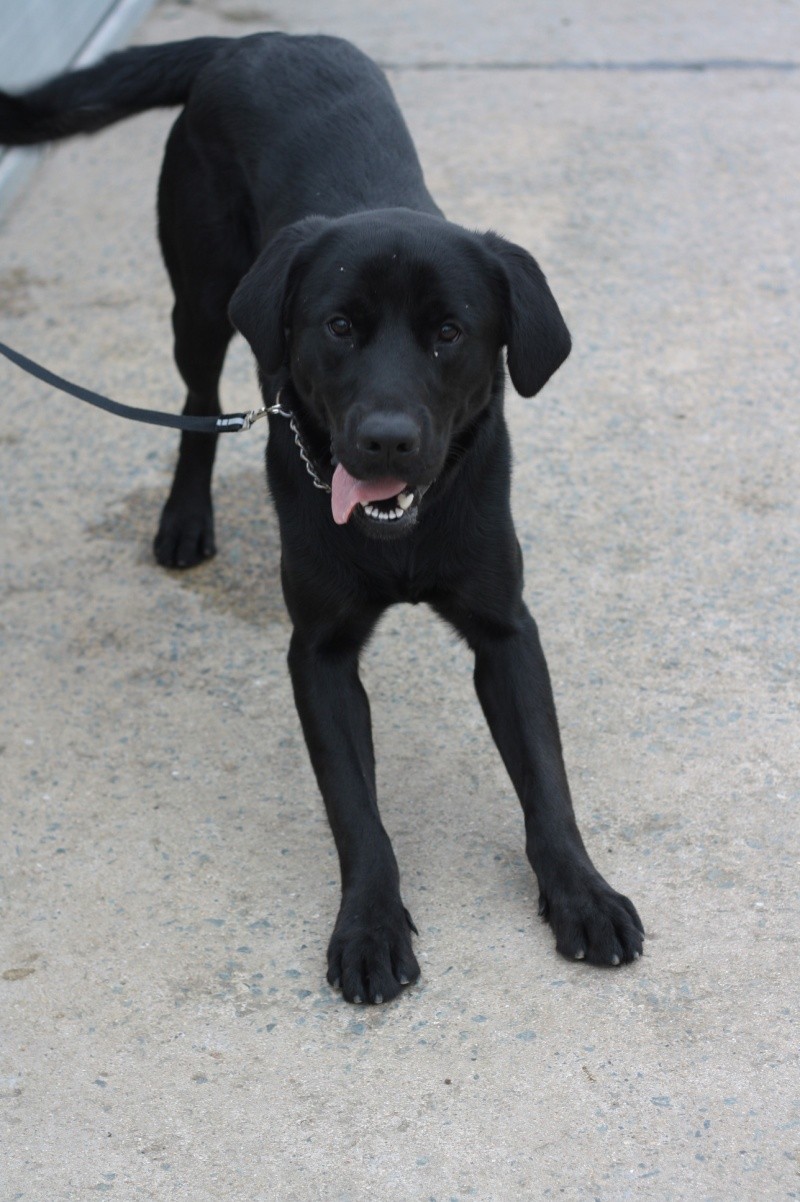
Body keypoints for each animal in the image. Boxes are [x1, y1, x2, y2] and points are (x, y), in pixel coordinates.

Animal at [1, 32, 643, 1000]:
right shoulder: (321, 651)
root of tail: (248, 40)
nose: (385, 441)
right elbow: (355, 811)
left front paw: (581, 893)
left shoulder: (505, 629)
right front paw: (370, 926)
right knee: (198, 402)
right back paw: (184, 519)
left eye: (450, 332)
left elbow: (546, 779)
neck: (400, 539)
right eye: (339, 326)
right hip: (201, 298)